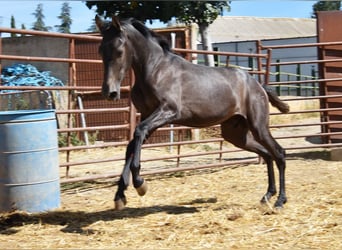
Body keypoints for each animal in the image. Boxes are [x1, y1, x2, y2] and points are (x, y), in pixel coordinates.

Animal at [95, 15, 288, 210]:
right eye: (100, 50)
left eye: (119, 50)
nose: (109, 92)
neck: (156, 69)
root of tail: (258, 85)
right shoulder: (148, 115)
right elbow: (132, 144)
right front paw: (120, 195)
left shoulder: (168, 111)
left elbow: (138, 132)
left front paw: (140, 184)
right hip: (235, 134)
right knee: (266, 154)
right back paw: (267, 195)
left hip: (258, 126)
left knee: (279, 153)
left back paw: (280, 200)